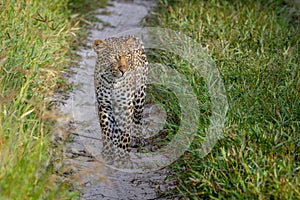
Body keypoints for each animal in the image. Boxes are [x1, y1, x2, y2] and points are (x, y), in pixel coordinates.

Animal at [92, 34, 149, 166]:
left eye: (127, 55)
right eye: (114, 57)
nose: (124, 70)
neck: (113, 82)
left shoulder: (126, 107)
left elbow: (126, 134)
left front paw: (123, 158)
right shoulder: (104, 106)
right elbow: (106, 132)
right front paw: (107, 154)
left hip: (140, 97)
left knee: (137, 119)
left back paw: (138, 140)